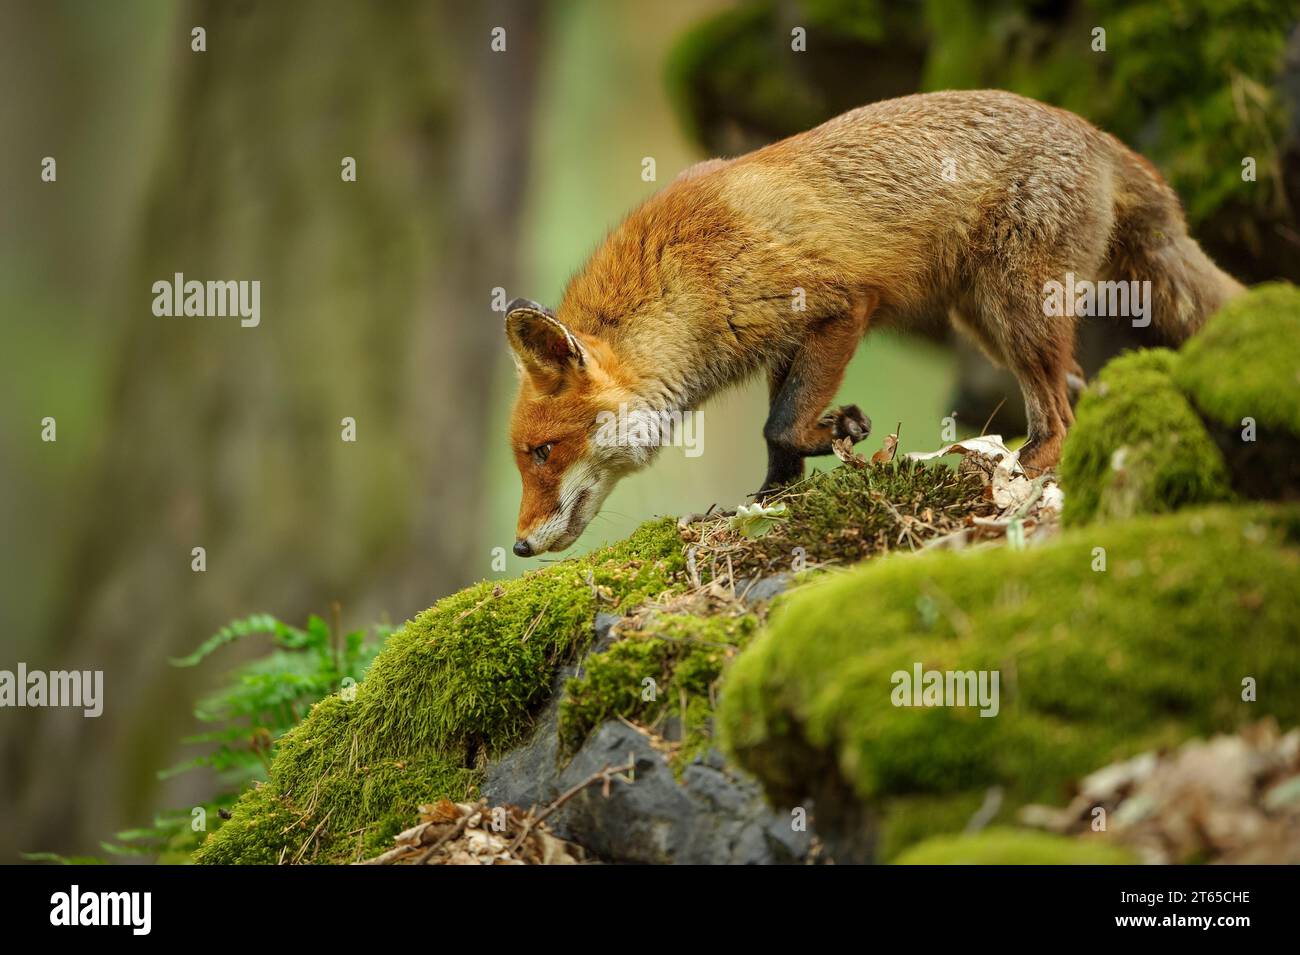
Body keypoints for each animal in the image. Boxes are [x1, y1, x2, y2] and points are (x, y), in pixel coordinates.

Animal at [506, 89, 1243, 556]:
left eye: (542, 453)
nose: (518, 545)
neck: (686, 274)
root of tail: (1093, 133)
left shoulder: (840, 306)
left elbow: (780, 423)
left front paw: (838, 434)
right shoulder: (781, 340)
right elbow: (776, 435)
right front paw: (773, 496)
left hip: (1016, 311)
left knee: (1058, 418)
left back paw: (1016, 473)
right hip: (986, 321)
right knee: (1077, 389)